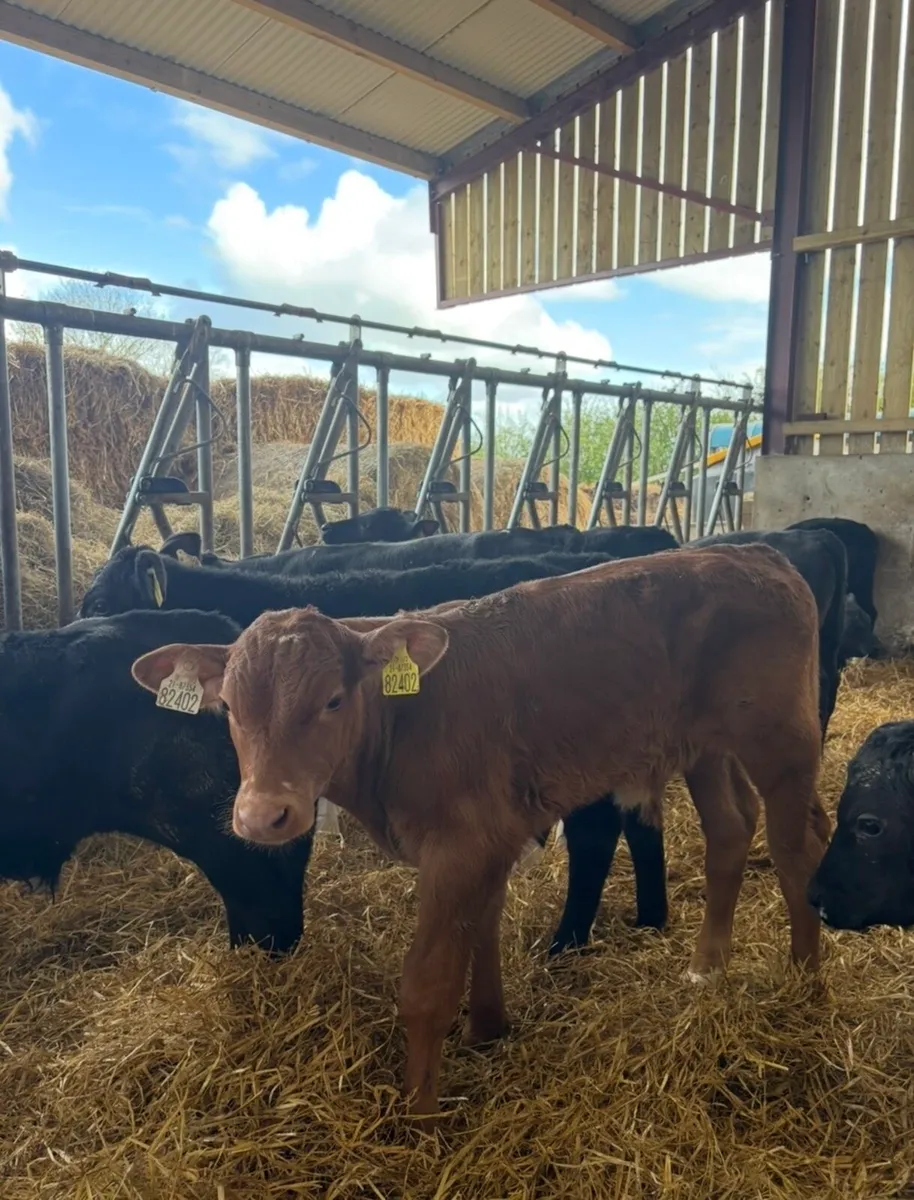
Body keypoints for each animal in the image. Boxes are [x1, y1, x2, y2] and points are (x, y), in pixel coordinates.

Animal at [131, 544, 827, 1115]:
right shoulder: (493, 835)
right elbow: (482, 928)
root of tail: (755, 551)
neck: (405, 720)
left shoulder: (459, 844)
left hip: (782, 739)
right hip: (705, 746)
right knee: (731, 830)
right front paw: (489, 1028)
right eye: (228, 707)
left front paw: (419, 1114)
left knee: (798, 847)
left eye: (332, 699)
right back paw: (707, 968)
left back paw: (804, 980)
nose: (262, 815)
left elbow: (428, 983)